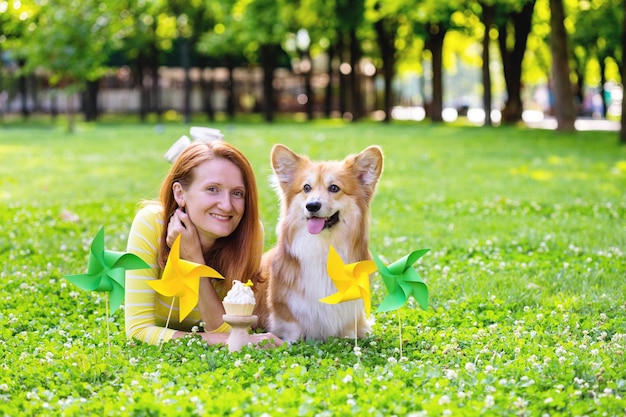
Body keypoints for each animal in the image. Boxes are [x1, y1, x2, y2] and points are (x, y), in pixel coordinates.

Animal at [255, 143, 382, 342]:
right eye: (306, 188)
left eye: (334, 188)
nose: (312, 206)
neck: (324, 248)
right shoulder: (285, 308)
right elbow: (292, 328)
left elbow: (349, 329)